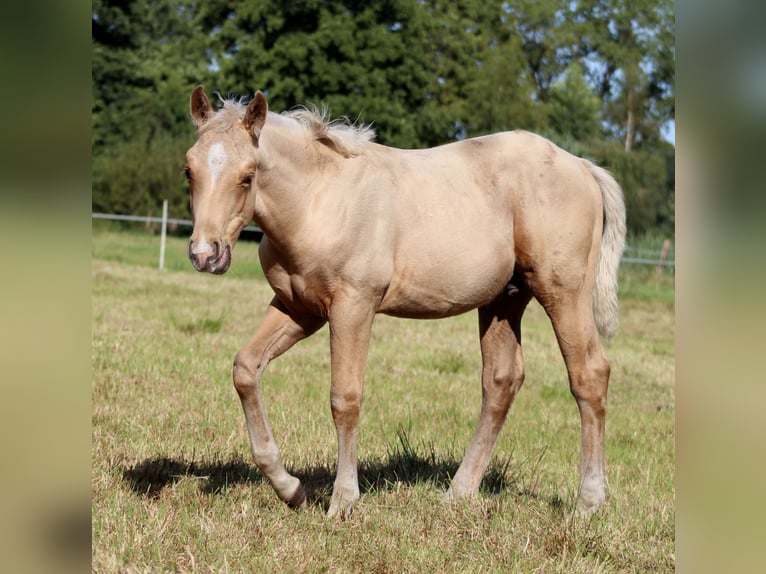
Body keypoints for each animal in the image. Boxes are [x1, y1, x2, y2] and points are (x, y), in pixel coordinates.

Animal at [183, 85, 626, 519]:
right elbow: (246, 368)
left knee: (589, 375)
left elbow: (345, 397)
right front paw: (291, 489)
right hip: (505, 299)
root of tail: (583, 166)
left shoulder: (353, 307)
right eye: (189, 170)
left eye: (247, 176)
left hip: (563, 292)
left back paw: (587, 504)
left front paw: (342, 501)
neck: (319, 200)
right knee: (501, 381)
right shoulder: (300, 308)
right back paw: (459, 493)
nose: (206, 254)